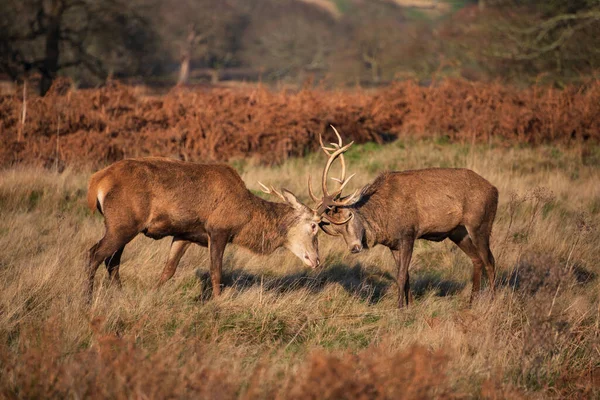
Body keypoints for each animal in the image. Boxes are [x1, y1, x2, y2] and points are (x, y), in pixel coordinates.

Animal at [85, 158, 326, 302]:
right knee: (94, 254)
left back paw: (119, 294)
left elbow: (168, 270)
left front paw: (152, 295)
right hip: (122, 223)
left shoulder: (184, 234)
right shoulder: (219, 230)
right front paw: (218, 303)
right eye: (314, 226)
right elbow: (216, 271)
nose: (316, 260)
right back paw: (86, 299)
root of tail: (97, 182)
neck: (245, 217)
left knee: (112, 260)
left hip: (121, 226)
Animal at [312, 126, 500, 308]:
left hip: (480, 223)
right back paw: (471, 302)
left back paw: (492, 301)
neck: (384, 218)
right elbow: (406, 275)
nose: (354, 248)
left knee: (490, 260)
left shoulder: (408, 234)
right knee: (477, 260)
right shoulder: (394, 244)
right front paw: (410, 306)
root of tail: (495, 190)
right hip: (458, 232)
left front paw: (400, 307)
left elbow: (401, 275)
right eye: (336, 230)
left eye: (348, 217)